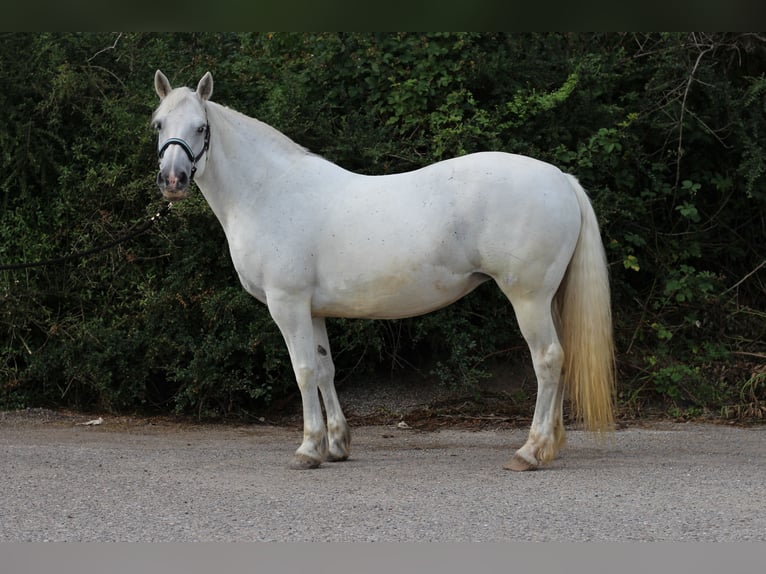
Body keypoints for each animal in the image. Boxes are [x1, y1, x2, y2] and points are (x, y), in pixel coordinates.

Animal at [153, 71, 616, 472]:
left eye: (200, 128)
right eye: (158, 124)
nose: (173, 179)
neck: (268, 192)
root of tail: (561, 179)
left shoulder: (288, 304)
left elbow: (303, 372)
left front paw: (308, 449)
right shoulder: (313, 310)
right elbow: (324, 369)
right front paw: (337, 445)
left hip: (528, 298)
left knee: (548, 359)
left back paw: (530, 451)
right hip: (548, 299)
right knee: (561, 358)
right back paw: (551, 444)